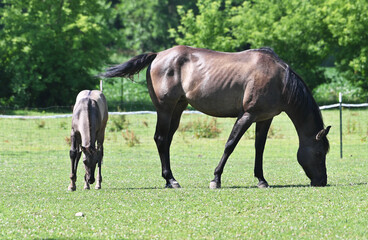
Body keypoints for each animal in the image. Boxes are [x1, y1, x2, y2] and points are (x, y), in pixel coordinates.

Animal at [103, 44, 330, 188]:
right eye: (320, 153)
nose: (322, 181)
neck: (280, 80)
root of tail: (158, 55)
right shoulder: (247, 115)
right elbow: (230, 144)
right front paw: (216, 179)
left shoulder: (265, 118)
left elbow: (260, 148)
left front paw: (261, 180)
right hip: (165, 109)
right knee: (160, 139)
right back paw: (170, 180)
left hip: (178, 109)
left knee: (166, 141)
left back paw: (170, 180)